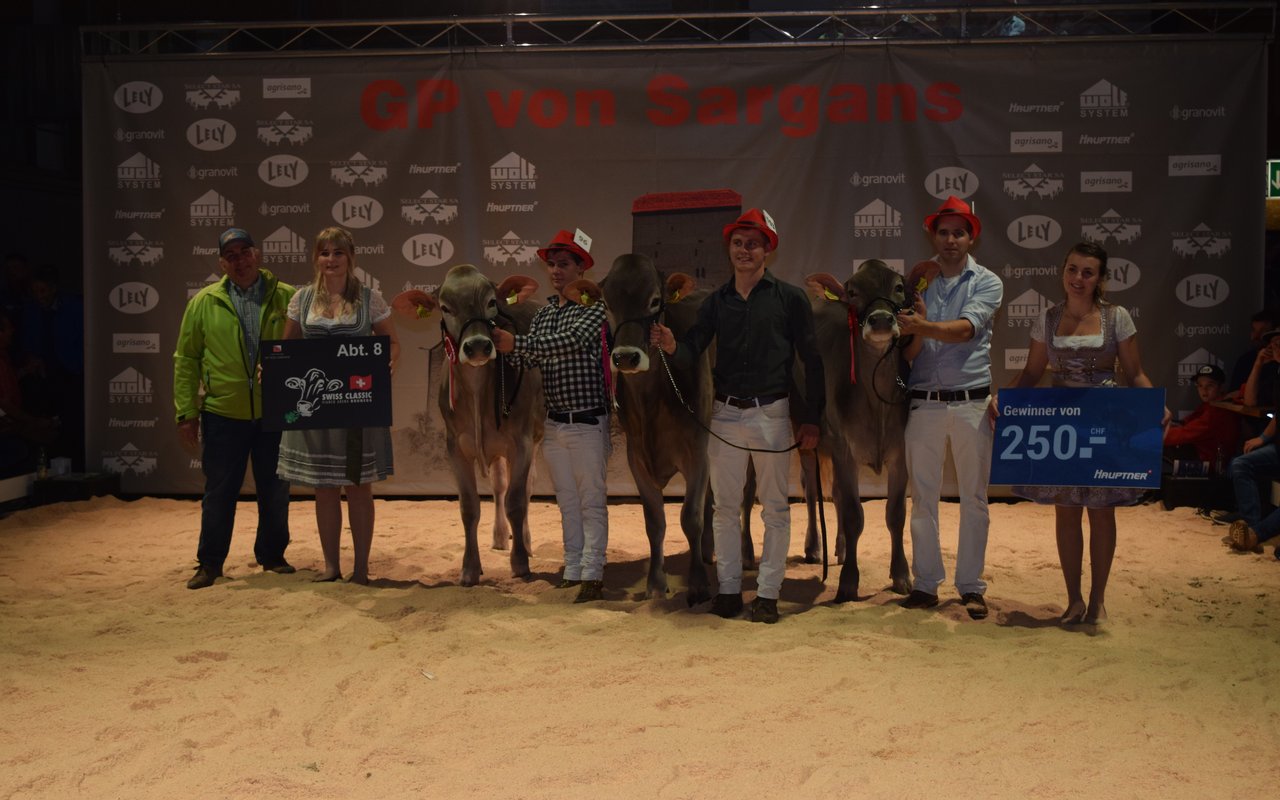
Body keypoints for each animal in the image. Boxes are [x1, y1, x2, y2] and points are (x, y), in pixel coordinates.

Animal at [392, 264, 544, 586]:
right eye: (445, 307)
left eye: (491, 302)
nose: (477, 346)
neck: (476, 391)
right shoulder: (455, 446)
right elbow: (469, 507)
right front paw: (470, 568)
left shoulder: (522, 441)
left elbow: (517, 501)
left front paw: (520, 562)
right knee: (499, 484)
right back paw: (500, 537)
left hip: (536, 434)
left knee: (526, 488)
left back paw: (525, 541)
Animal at [597, 253, 717, 605]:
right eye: (606, 302)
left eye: (654, 300)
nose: (625, 357)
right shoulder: (636, 456)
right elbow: (655, 522)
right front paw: (655, 583)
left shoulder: (696, 450)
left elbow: (690, 517)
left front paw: (698, 584)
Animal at [796, 258, 912, 602]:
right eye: (852, 291)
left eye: (898, 287)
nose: (882, 319)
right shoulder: (843, 449)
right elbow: (853, 514)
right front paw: (848, 582)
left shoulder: (901, 452)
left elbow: (895, 514)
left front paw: (901, 576)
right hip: (805, 434)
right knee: (811, 490)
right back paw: (814, 547)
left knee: (833, 493)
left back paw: (841, 548)